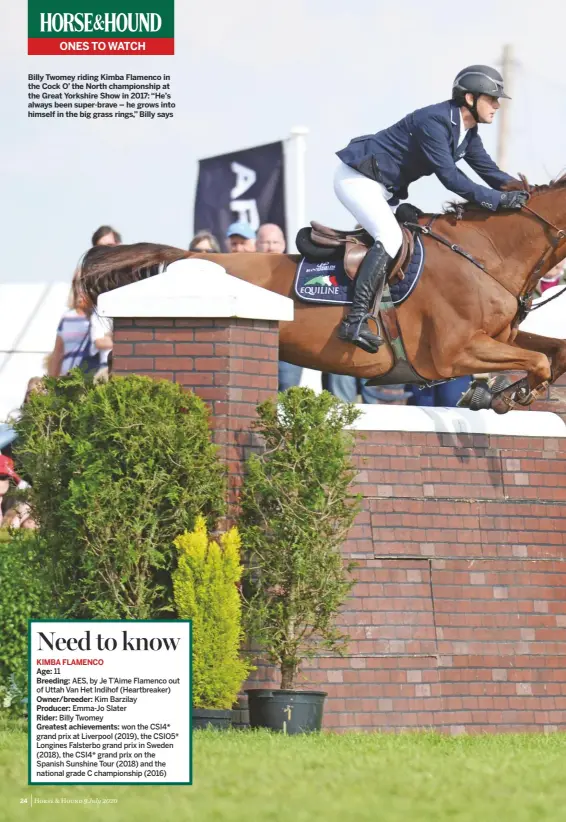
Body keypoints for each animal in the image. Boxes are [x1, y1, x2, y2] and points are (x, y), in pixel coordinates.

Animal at [79, 178, 566, 416]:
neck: (485, 253)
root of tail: (185, 256)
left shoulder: (499, 338)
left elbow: (552, 353)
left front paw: (495, 395)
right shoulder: (453, 353)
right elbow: (540, 362)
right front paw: (505, 394)